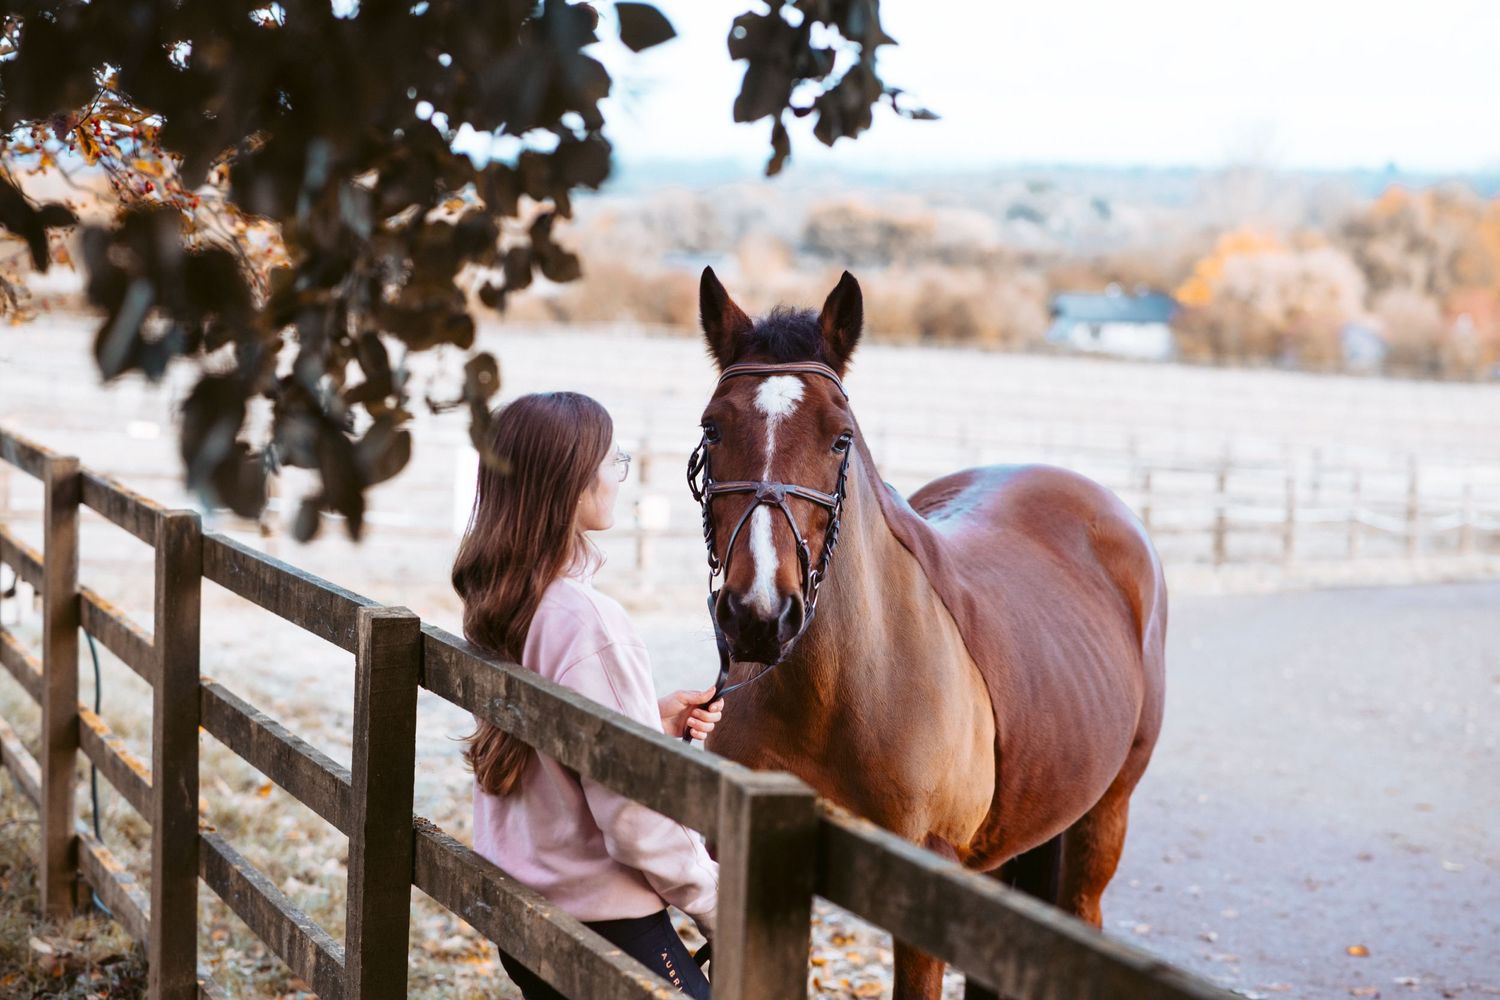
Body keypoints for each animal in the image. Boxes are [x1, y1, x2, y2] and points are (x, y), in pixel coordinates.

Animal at [692, 267, 1168, 999]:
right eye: (712, 429)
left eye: (839, 438)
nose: (759, 616)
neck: (837, 694)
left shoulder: (922, 884)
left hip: (1104, 819)